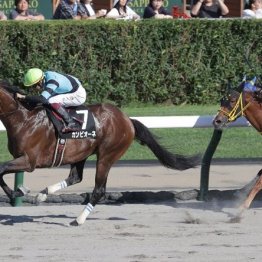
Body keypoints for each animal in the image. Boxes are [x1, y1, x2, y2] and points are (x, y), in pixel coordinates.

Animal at [0, 81, 201, 225]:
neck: (24, 118)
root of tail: (127, 120)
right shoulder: (21, 158)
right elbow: (1, 171)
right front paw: (18, 192)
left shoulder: (29, 161)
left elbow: (1, 168)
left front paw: (17, 192)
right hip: (80, 153)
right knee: (75, 177)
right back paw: (43, 194)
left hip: (107, 155)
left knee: (99, 190)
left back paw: (78, 220)